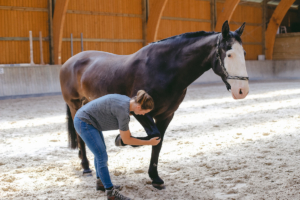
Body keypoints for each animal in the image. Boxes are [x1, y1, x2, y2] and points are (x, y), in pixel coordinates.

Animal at [60, 21, 248, 190]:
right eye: (229, 54)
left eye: (244, 53)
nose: (242, 91)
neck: (163, 68)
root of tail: (69, 62)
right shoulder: (141, 112)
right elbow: (152, 136)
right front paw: (120, 140)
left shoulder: (166, 115)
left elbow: (158, 142)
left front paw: (155, 178)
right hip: (75, 105)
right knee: (80, 135)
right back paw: (86, 167)